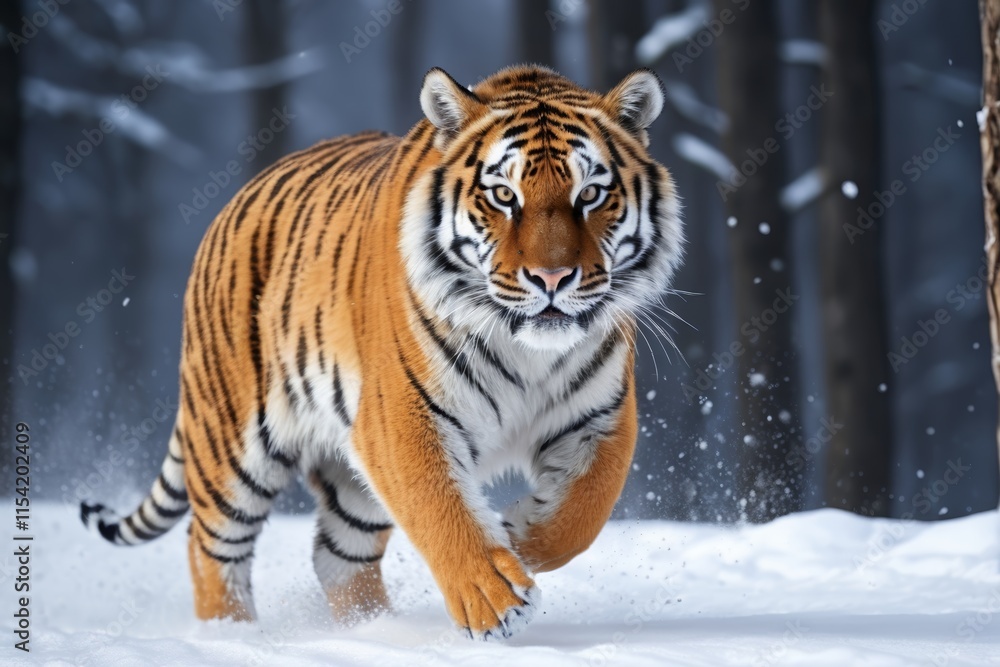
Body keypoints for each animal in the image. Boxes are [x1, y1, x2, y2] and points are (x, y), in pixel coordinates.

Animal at [80, 64, 683, 641]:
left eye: (591, 195)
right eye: (504, 197)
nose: (553, 278)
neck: (526, 349)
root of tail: (234, 202)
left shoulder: (602, 415)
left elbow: (586, 510)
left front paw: (521, 533)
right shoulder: (402, 416)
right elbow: (440, 507)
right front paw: (495, 602)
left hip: (350, 487)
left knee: (338, 558)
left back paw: (371, 631)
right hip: (231, 442)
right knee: (211, 547)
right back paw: (230, 635)